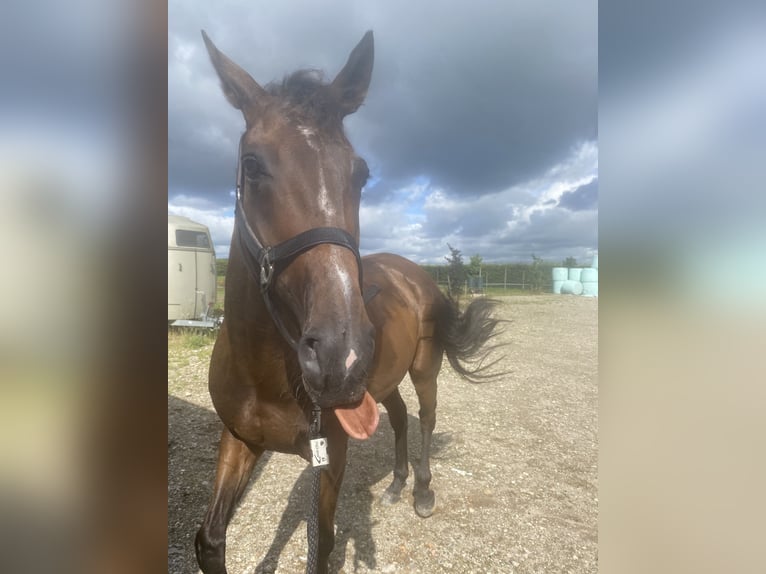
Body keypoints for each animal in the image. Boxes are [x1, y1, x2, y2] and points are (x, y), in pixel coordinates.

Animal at [195, 30, 504, 574]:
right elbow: (209, 539)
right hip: (382, 383)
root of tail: (416, 274)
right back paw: (397, 484)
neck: (264, 371)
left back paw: (422, 491)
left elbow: (323, 545)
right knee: (398, 415)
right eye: (251, 165)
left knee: (426, 418)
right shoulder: (238, 438)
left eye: (360, 174)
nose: (342, 354)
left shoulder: (331, 454)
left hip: (423, 369)